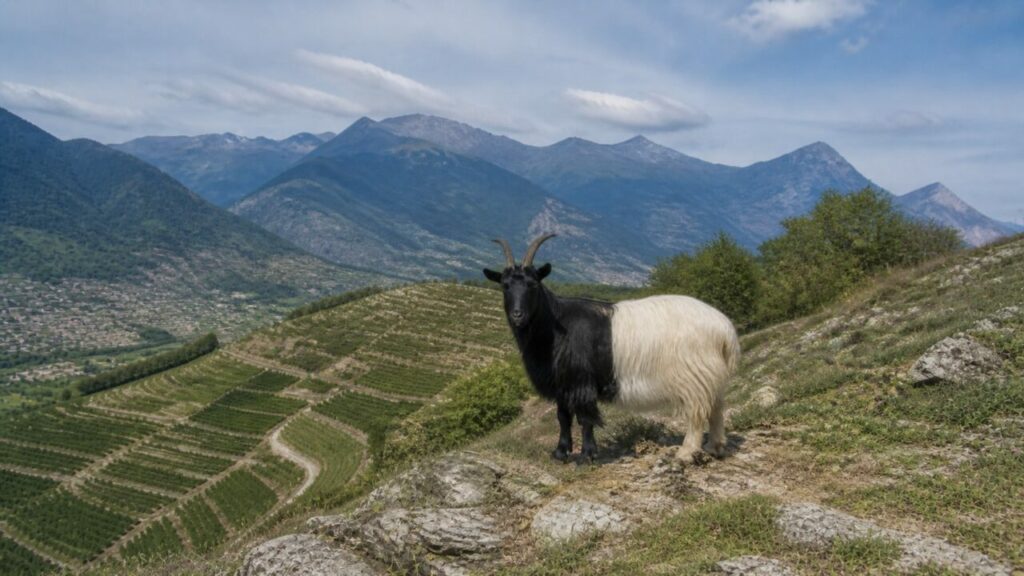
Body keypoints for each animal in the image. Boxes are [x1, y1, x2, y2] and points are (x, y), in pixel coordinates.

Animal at [483, 234, 739, 463]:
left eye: (533, 284)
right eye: (505, 286)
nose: (518, 315)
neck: (556, 325)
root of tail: (724, 329)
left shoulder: (581, 381)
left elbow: (585, 418)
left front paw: (587, 455)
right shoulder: (563, 385)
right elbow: (563, 417)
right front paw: (560, 453)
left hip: (694, 376)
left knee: (698, 413)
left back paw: (686, 453)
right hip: (709, 376)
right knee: (717, 408)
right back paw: (715, 447)